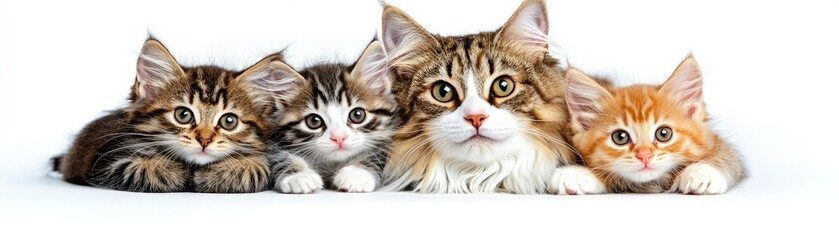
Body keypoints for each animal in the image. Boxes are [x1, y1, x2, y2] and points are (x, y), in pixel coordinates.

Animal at [50, 37, 296, 193]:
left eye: (229, 121)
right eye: (183, 115)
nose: (204, 140)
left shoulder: (261, 163)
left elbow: (254, 170)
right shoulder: (107, 162)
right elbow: (151, 170)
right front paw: (183, 173)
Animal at [270, 40, 400, 194]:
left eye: (357, 115)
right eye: (314, 121)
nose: (339, 138)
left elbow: (378, 152)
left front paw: (356, 173)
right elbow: (279, 156)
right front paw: (300, 175)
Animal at [552, 56, 748, 195]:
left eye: (664, 134)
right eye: (620, 137)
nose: (645, 156)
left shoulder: (719, 144)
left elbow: (726, 157)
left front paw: (702, 173)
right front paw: (578, 174)